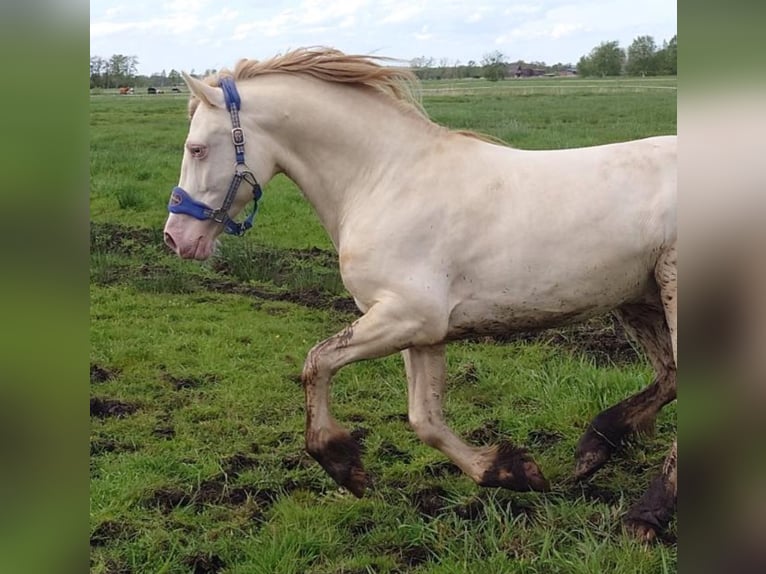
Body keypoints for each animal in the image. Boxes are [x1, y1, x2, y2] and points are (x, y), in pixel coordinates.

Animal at [164, 47, 680, 544]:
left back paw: (646, 514)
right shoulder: (422, 333)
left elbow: (317, 363)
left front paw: (344, 466)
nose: (176, 238)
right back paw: (595, 448)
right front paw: (511, 471)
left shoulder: (407, 316)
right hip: (639, 300)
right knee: (669, 378)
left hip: (670, 294)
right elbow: (424, 419)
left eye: (196, 148)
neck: (382, 180)